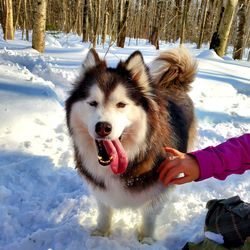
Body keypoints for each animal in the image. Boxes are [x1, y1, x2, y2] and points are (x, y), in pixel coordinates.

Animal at [65, 47, 196, 244]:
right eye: (92, 103)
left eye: (121, 104)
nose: (103, 127)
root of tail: (174, 84)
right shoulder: (101, 188)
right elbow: (104, 209)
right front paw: (102, 231)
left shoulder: (159, 186)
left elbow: (149, 214)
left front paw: (146, 239)